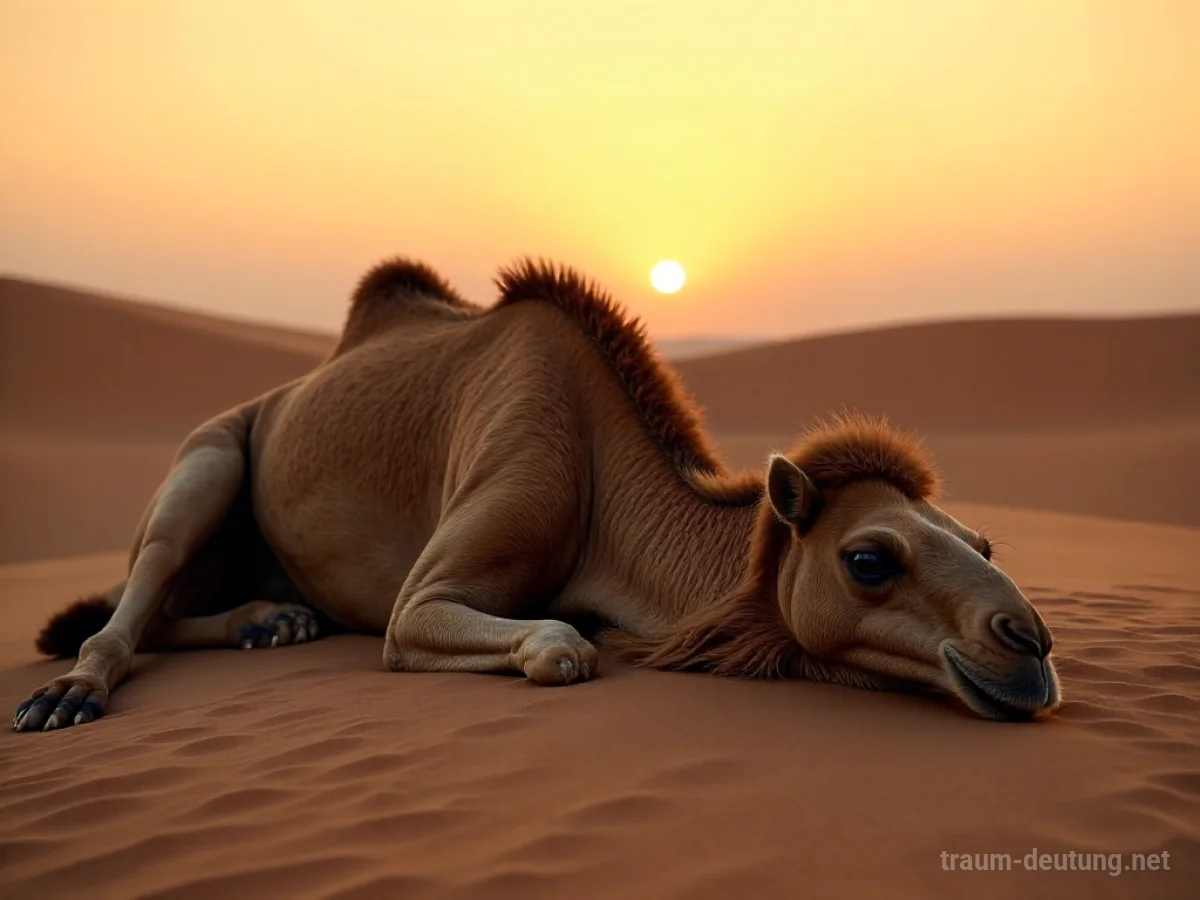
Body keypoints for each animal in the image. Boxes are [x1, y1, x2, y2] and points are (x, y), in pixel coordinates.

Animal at [12, 258, 1061, 732]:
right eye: (869, 558)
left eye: (984, 542)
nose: (1031, 644)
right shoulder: (432, 591)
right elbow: (558, 643)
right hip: (213, 455)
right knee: (132, 603)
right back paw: (68, 695)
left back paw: (273, 622)